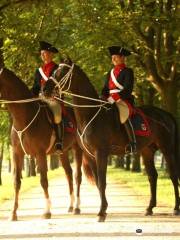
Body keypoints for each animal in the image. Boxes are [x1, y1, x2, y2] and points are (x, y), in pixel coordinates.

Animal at [0, 66, 93, 221]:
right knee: (68, 173)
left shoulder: (40, 154)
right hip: (62, 152)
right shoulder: (17, 154)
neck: (24, 117)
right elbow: (16, 182)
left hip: (77, 150)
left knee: (77, 176)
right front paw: (13, 213)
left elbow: (43, 180)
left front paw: (47, 211)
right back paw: (71, 205)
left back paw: (77, 207)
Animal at [45, 61, 180, 221]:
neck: (90, 114)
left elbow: (102, 182)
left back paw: (176, 208)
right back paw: (149, 208)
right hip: (147, 151)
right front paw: (103, 209)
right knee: (152, 176)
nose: (45, 89)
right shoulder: (90, 155)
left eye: (61, 72)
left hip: (167, 149)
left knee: (173, 175)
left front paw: (102, 212)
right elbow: (98, 182)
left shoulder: (101, 153)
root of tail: (165, 114)